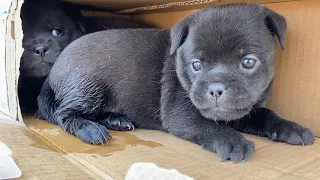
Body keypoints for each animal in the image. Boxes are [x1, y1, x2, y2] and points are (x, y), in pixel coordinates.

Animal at [38, 4, 316, 162]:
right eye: (196, 65)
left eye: (248, 62)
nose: (216, 89)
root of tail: (52, 72)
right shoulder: (182, 112)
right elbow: (207, 125)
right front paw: (232, 140)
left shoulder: (243, 110)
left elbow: (266, 114)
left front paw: (291, 127)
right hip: (87, 86)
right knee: (64, 113)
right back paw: (89, 129)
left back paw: (116, 120)